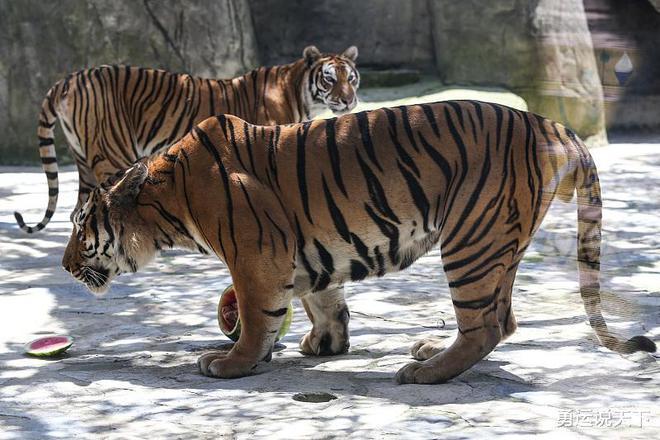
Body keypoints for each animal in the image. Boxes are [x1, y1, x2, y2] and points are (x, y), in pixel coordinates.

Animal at [12, 45, 358, 234]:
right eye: (329, 78)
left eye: (351, 78)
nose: (349, 100)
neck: (300, 92)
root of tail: (69, 78)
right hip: (112, 154)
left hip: (83, 161)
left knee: (77, 212)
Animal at [60, 101, 656, 384]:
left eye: (79, 226)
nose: (64, 266)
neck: (165, 200)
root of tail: (555, 127)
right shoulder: (303, 248)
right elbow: (322, 297)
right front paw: (325, 343)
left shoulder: (254, 256)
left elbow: (255, 318)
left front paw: (232, 362)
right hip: (495, 244)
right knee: (502, 318)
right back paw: (431, 353)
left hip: (472, 239)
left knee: (486, 323)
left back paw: (424, 371)